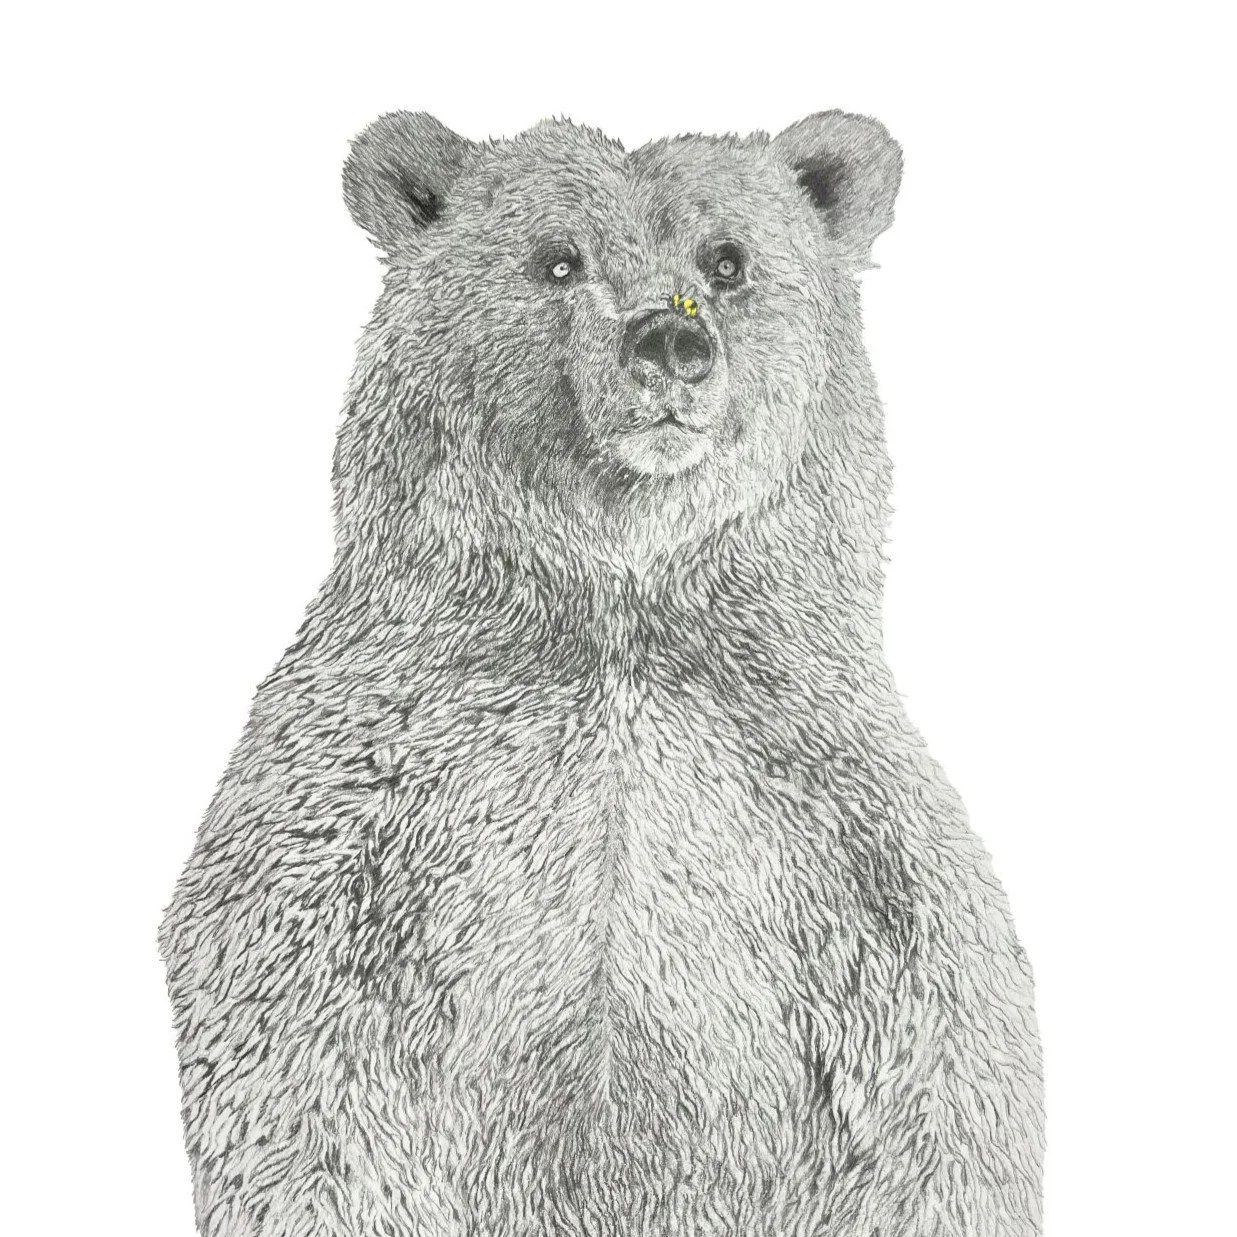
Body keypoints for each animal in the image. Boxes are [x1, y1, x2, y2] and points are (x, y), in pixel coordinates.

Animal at [160, 110, 1044, 1237]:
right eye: (556, 259)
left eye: (727, 259)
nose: (668, 343)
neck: (618, 606)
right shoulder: (371, 790)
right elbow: (299, 1053)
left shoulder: (830, 815)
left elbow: (935, 1073)